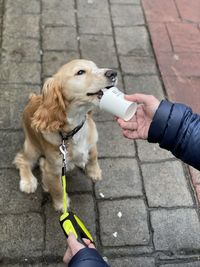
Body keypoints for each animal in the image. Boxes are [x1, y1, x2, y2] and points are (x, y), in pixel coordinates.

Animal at [14, 59, 117, 211]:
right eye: (80, 72)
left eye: (96, 67)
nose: (113, 73)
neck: (74, 129)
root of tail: (32, 99)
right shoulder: (52, 170)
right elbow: (57, 189)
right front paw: (61, 205)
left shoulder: (92, 141)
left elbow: (93, 155)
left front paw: (94, 172)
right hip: (32, 148)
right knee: (22, 160)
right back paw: (28, 182)